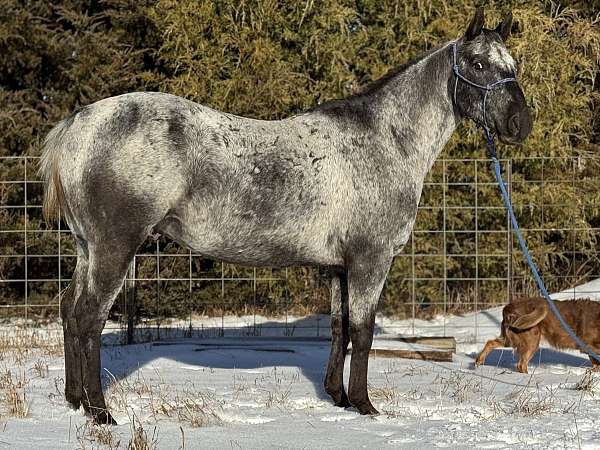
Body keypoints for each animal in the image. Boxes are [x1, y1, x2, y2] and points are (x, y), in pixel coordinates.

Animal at [39, 7, 532, 426]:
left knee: (69, 313)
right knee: (89, 318)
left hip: (87, 248)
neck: (385, 141)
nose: (521, 123)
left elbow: (339, 329)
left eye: (513, 65)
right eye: (478, 65)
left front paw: (338, 398)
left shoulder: (338, 267)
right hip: (114, 248)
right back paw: (101, 412)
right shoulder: (370, 261)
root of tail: (78, 124)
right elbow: (364, 332)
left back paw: (74, 401)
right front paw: (366, 406)